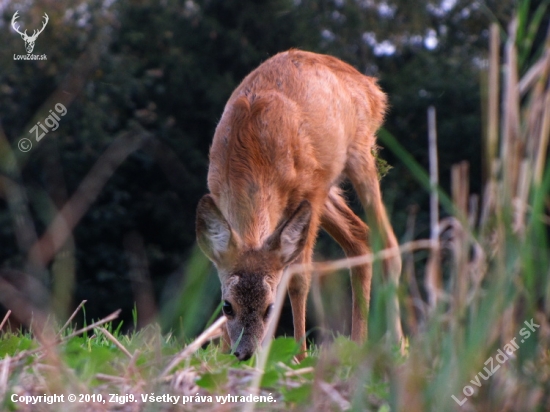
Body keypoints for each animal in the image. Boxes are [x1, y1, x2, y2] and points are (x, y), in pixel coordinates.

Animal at [196, 49, 404, 360]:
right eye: (227, 306)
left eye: (270, 308)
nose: (244, 353)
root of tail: (371, 87)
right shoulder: (217, 191)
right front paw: (221, 353)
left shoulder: (310, 192)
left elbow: (298, 278)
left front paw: (299, 356)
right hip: (328, 189)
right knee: (360, 238)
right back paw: (357, 346)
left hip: (356, 157)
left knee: (388, 244)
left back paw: (399, 347)